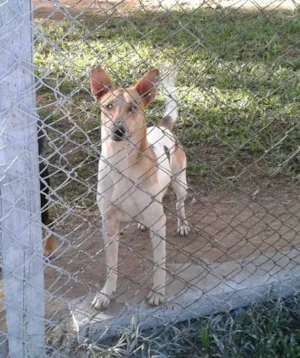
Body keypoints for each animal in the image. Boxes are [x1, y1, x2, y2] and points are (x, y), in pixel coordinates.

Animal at [89, 68, 190, 310]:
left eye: (133, 108)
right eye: (108, 106)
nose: (118, 130)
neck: (121, 163)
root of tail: (163, 126)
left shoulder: (158, 222)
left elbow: (159, 264)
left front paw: (158, 292)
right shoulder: (108, 223)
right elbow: (111, 266)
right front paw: (106, 293)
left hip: (181, 183)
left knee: (180, 203)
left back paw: (183, 224)